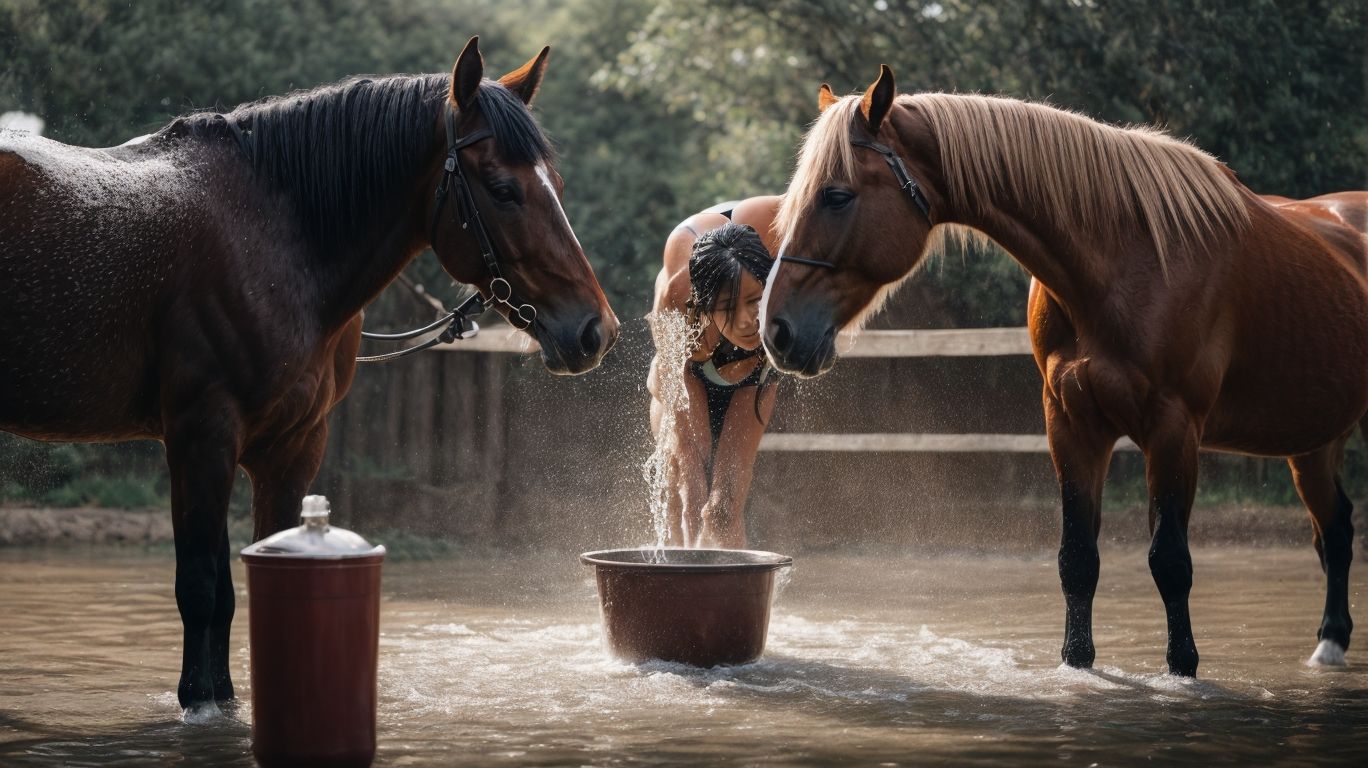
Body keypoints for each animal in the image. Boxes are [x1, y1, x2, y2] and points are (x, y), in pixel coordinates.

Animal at [0, 37, 618, 715]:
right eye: (504, 189)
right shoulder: (201, 439)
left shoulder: (291, 448)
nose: (595, 330)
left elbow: (253, 575)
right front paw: (200, 703)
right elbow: (202, 586)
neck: (274, 241)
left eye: (555, 184)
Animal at [761, 65, 1368, 677]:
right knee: (1336, 529)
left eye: (837, 196)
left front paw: (1182, 669)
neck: (1128, 260)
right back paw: (1330, 643)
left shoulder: (1174, 431)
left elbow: (1170, 562)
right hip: (1313, 441)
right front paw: (1077, 666)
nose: (777, 330)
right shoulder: (1072, 425)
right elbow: (1077, 560)